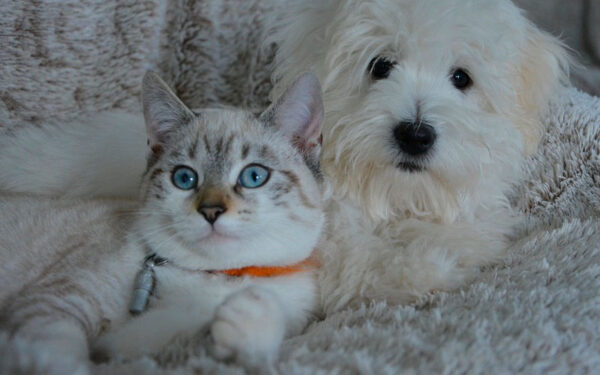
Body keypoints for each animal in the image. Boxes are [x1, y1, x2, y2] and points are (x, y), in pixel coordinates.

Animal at [0, 72, 326, 374]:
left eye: (254, 176)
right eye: (184, 178)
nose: (211, 211)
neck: (218, 277)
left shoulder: (154, 350)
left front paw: (249, 315)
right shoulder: (56, 306)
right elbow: (58, 357)